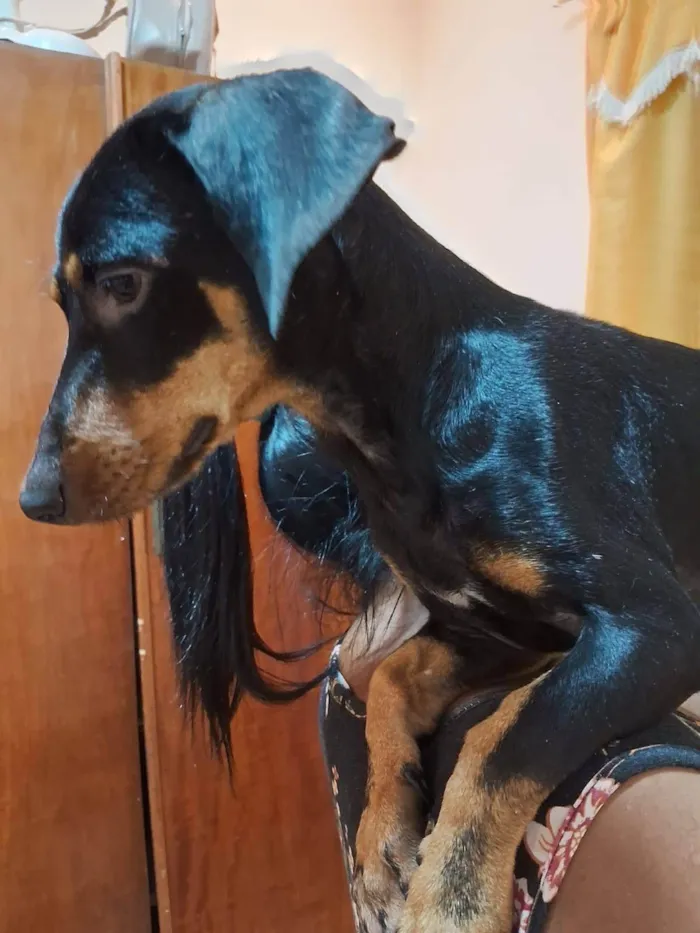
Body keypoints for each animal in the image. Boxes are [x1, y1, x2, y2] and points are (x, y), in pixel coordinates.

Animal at [19, 68, 700, 933]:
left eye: (121, 284)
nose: (33, 497)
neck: (406, 422)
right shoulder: (491, 628)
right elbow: (392, 682)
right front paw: (382, 840)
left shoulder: (657, 624)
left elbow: (506, 738)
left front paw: (451, 897)